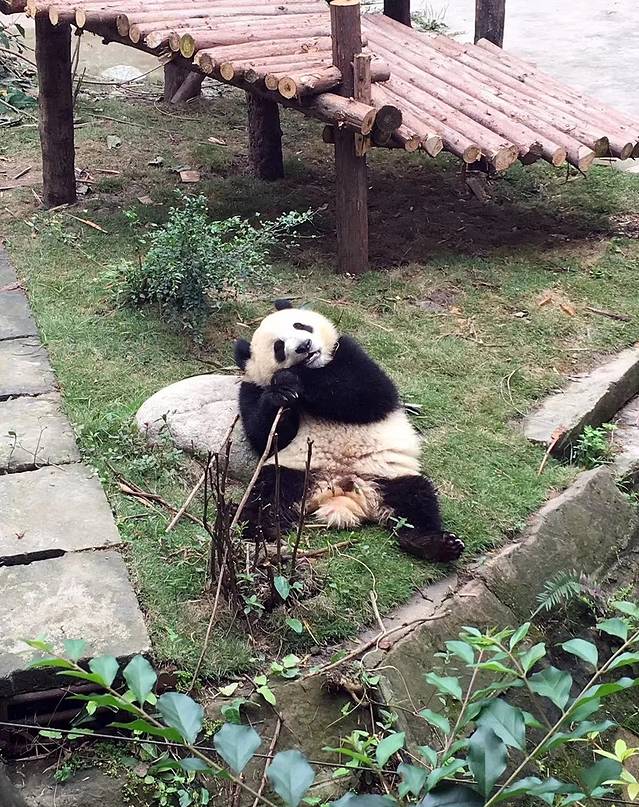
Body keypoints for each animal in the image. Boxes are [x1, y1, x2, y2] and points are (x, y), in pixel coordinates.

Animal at [233, 300, 464, 563]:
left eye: (300, 325)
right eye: (279, 347)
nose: (304, 346)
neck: (316, 367)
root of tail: (339, 487)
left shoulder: (350, 353)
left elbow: (365, 392)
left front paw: (291, 378)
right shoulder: (251, 387)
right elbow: (264, 437)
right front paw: (280, 393)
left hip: (389, 474)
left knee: (416, 500)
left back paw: (434, 543)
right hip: (296, 472)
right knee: (267, 493)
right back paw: (259, 528)